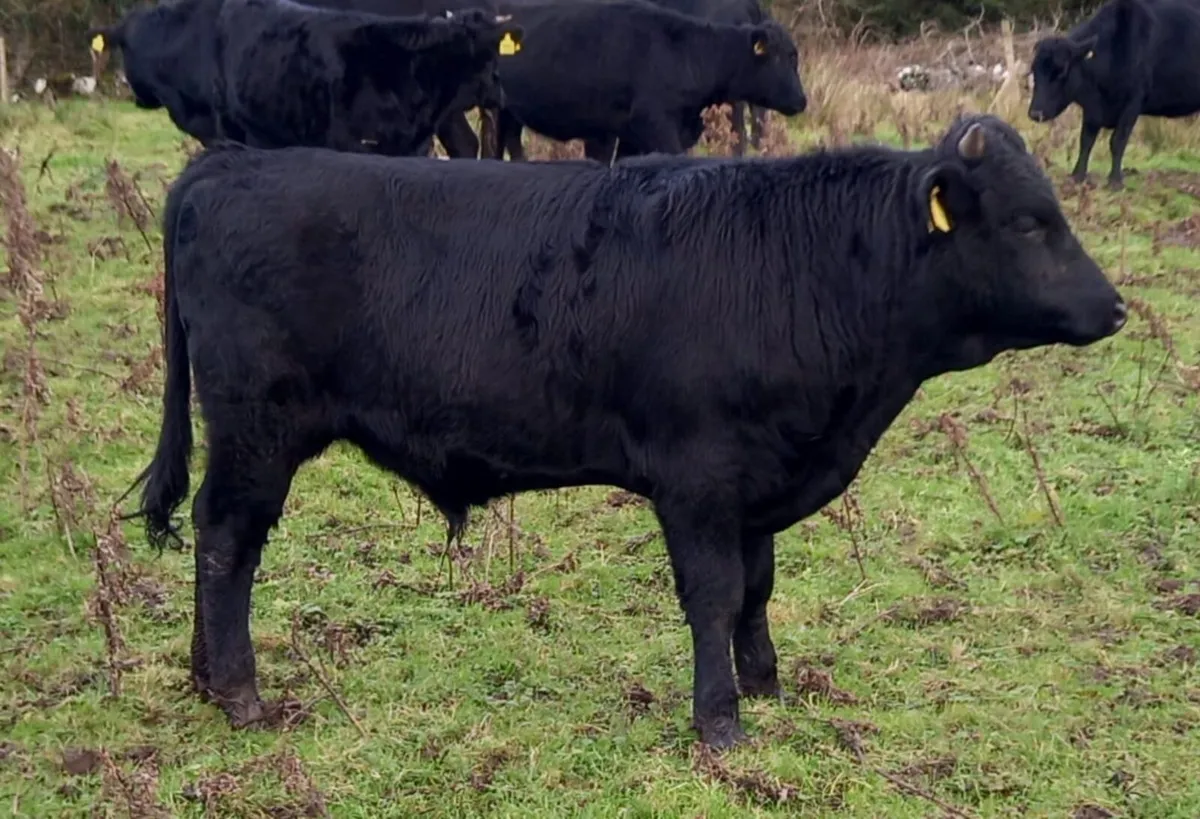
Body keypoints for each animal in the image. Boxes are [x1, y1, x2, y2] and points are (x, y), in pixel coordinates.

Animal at [128, 113, 1125, 748]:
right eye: (1030, 222)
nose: (1115, 306)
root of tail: (230, 163)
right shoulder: (699, 477)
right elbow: (715, 594)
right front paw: (720, 722)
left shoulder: (757, 479)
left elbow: (758, 588)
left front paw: (768, 686)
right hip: (258, 430)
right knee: (227, 542)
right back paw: (241, 692)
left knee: (212, 540)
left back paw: (204, 675)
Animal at [1028, 0, 1200, 189]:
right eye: (1034, 70)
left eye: (1062, 71)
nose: (1036, 113)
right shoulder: (1092, 107)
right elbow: (1086, 140)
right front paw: (1077, 175)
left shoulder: (1133, 101)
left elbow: (1118, 141)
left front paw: (1115, 181)